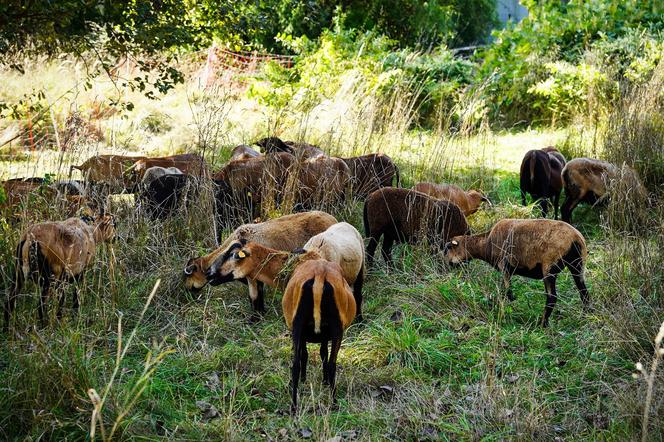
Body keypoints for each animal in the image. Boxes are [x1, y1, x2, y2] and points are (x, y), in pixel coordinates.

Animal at [208, 223, 366, 320]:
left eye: (233, 255)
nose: (209, 272)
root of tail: (345, 223)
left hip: (361, 268)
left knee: (358, 294)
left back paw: (359, 320)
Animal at [280, 258, 356, 410]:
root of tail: (320, 272)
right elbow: (322, 354)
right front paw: (323, 380)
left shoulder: (306, 335)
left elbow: (312, 354)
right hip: (337, 329)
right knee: (332, 364)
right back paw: (334, 403)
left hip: (298, 326)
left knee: (295, 365)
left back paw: (294, 406)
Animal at [444, 218, 588, 326]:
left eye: (449, 247)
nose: (448, 264)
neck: (486, 243)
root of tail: (576, 238)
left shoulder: (505, 267)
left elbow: (506, 291)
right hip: (577, 265)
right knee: (583, 293)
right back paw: (584, 316)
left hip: (549, 267)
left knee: (552, 297)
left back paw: (543, 323)